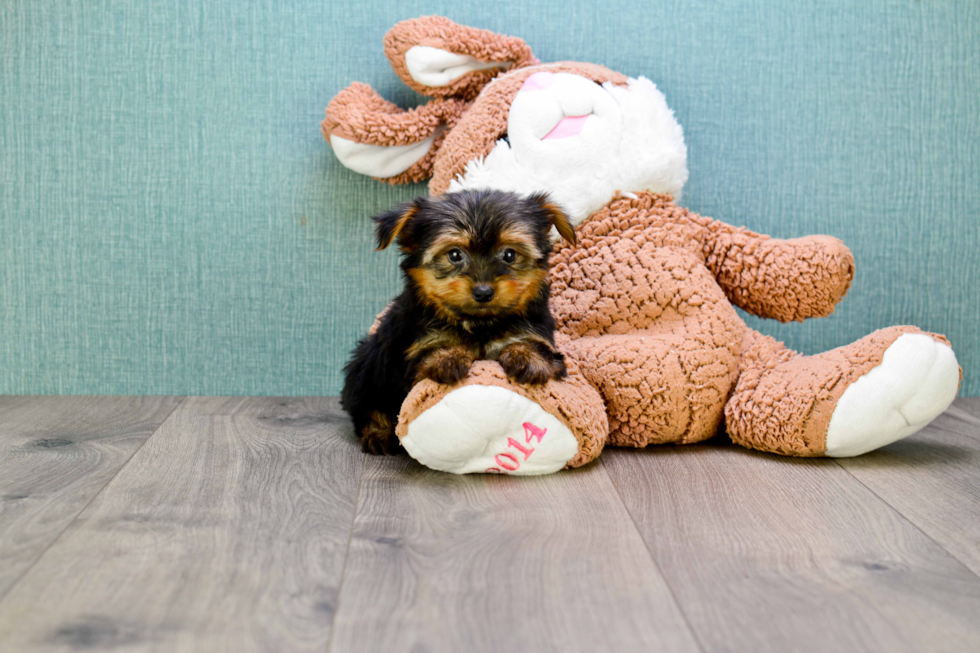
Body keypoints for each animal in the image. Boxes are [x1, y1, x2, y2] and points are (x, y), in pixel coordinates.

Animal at [342, 188, 576, 454]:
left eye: (509, 254)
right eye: (454, 254)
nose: (483, 292)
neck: (480, 323)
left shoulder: (538, 334)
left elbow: (537, 348)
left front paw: (528, 358)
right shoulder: (411, 350)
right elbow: (427, 354)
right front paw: (448, 358)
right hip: (366, 368)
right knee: (368, 405)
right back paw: (378, 434)